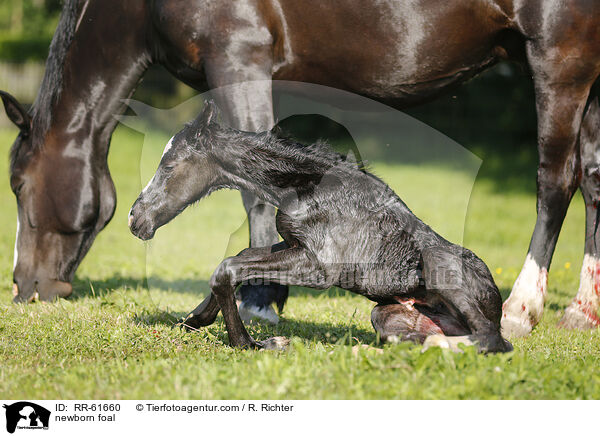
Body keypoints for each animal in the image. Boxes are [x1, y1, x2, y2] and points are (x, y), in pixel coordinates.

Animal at [129, 102, 512, 354]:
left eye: (169, 165)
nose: (135, 219)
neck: (307, 183)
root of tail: (496, 302)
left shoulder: (319, 267)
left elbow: (228, 268)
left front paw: (254, 343)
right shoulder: (292, 245)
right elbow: (241, 257)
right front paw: (193, 320)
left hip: (437, 262)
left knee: (491, 339)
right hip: (385, 314)